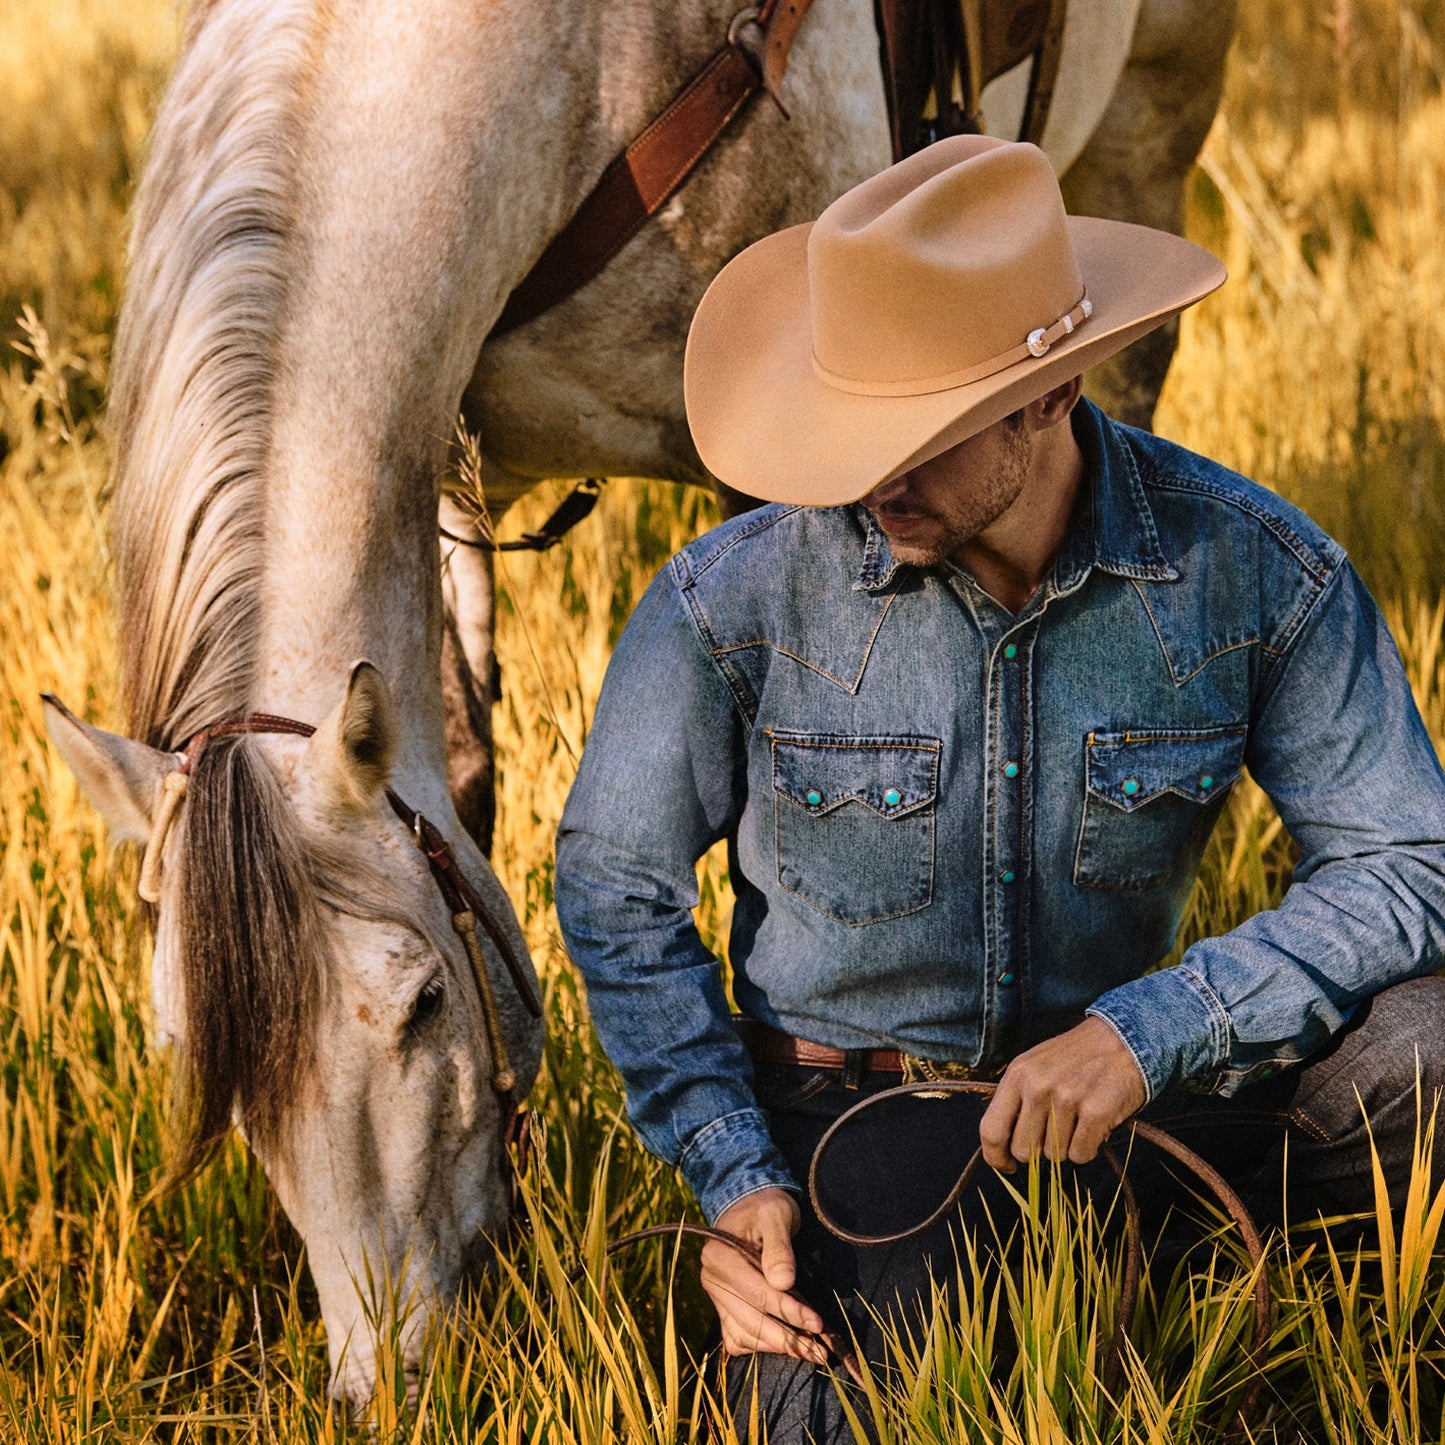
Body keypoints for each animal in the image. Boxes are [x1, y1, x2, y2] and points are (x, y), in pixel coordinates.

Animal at [50, 0, 1236, 1410]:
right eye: (184, 1042)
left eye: (423, 1003)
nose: (392, 1377)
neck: (570, 65)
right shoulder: (451, 469)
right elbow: (465, 777)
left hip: (1153, 112)